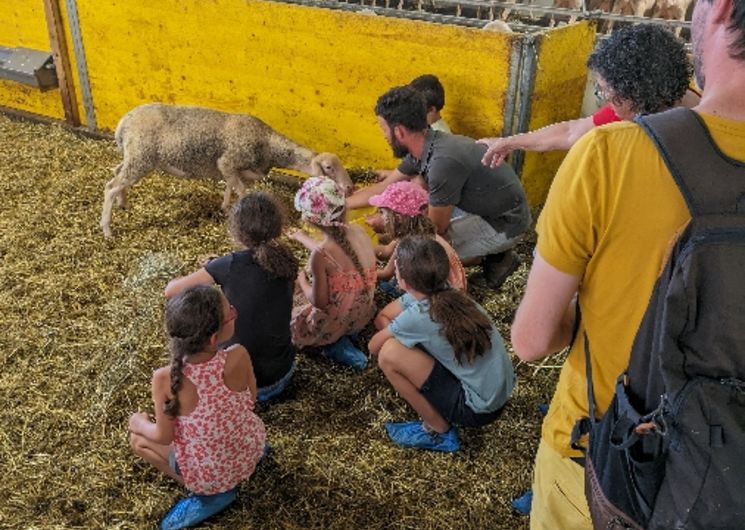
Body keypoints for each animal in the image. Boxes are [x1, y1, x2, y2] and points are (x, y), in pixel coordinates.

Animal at [100, 103, 354, 235]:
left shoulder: (236, 171)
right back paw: (107, 229)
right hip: (141, 157)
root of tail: (124, 122)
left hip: (134, 156)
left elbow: (230, 188)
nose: (350, 187)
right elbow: (241, 192)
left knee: (116, 173)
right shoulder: (228, 162)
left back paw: (123, 203)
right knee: (110, 187)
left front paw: (224, 206)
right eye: (329, 168)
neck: (268, 144)